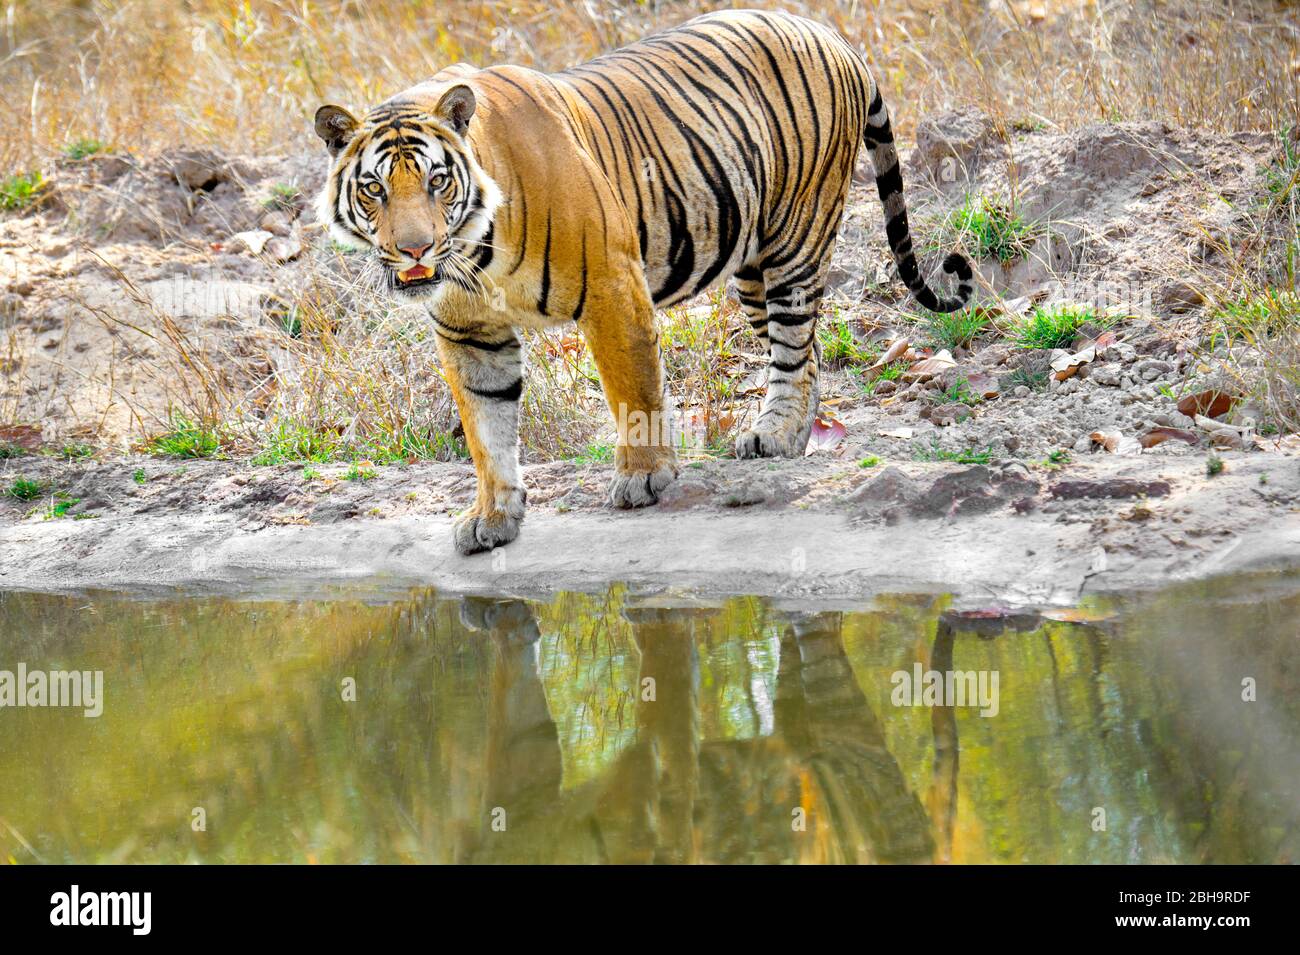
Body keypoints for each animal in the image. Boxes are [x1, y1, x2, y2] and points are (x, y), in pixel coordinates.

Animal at [312, 7, 967, 556]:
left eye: (437, 182)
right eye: (374, 188)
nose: (414, 248)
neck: (476, 254)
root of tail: (830, 33)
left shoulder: (611, 287)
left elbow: (633, 389)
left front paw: (645, 477)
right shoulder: (469, 334)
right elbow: (485, 428)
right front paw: (493, 517)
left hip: (796, 238)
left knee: (793, 344)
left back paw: (775, 436)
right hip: (750, 268)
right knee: (808, 355)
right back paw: (790, 434)